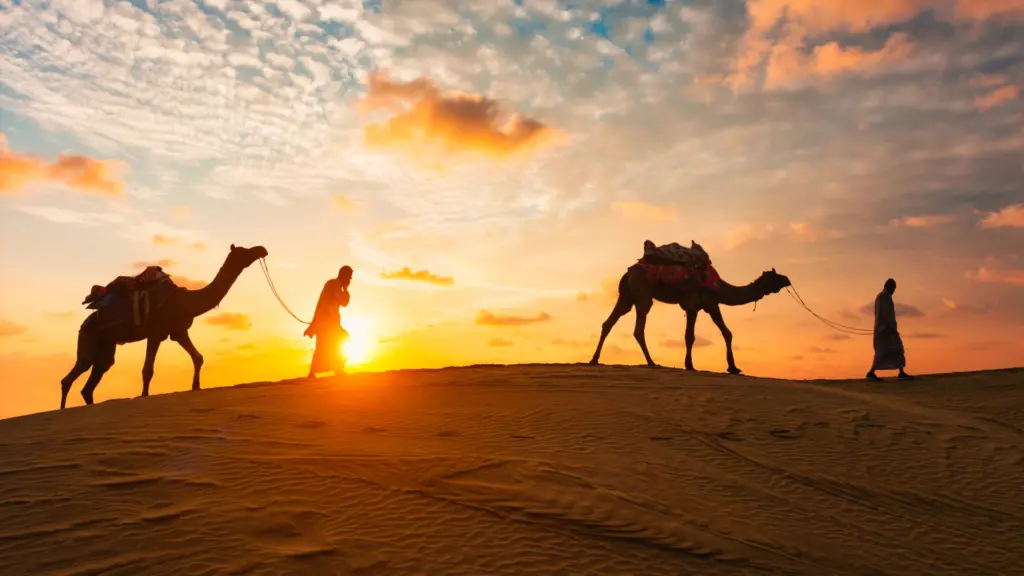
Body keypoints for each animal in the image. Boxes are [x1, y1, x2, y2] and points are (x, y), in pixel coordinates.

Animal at [60, 244, 268, 410]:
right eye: (244, 251)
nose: (262, 249)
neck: (186, 301)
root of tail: (84, 323)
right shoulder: (155, 333)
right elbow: (147, 370)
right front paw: (144, 396)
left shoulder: (178, 331)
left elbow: (198, 357)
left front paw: (196, 386)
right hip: (87, 338)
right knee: (73, 374)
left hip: (106, 345)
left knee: (94, 378)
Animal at [589, 262, 791, 373]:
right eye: (775, 276)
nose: (787, 279)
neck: (721, 287)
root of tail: (628, 272)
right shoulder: (705, 303)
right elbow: (697, 335)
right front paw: (692, 365)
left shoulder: (702, 306)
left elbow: (718, 333)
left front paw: (732, 367)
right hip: (643, 294)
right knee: (638, 329)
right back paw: (652, 362)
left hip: (626, 296)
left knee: (608, 323)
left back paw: (594, 360)